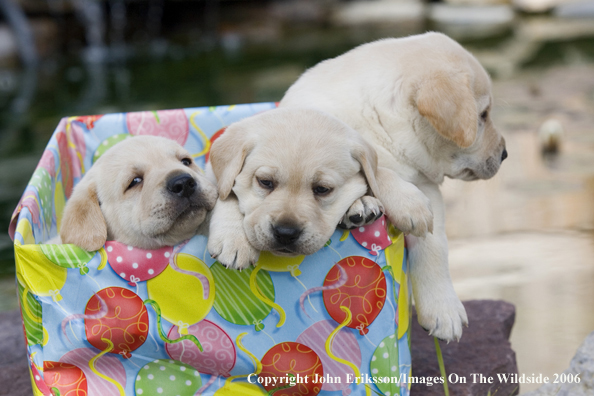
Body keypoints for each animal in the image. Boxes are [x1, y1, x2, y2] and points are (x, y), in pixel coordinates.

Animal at [204, 106, 430, 270]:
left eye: (322, 189)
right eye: (265, 182)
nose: (286, 233)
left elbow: (379, 172)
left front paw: (409, 203)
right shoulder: (213, 179)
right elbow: (227, 196)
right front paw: (234, 240)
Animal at [280, 31, 506, 340]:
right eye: (482, 115)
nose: (505, 154)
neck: (380, 123)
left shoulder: (428, 189)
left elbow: (435, 247)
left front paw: (443, 310)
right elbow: (378, 169)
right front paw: (404, 200)